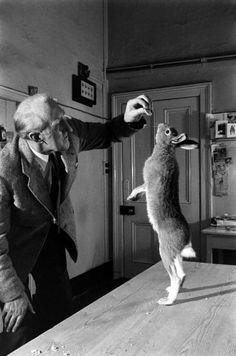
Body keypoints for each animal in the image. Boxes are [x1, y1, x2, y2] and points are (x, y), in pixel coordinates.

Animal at [127, 124, 199, 304]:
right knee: (182, 275)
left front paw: (131, 196)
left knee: (176, 277)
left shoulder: (147, 182)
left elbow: (139, 187)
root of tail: (185, 239)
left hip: (165, 252)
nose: (160, 125)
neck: (164, 150)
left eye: (168, 132)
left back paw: (167, 301)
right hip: (175, 255)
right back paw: (171, 292)